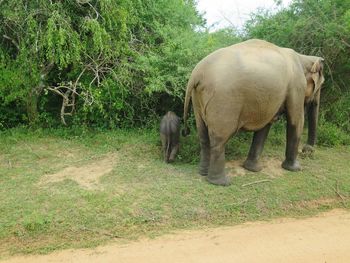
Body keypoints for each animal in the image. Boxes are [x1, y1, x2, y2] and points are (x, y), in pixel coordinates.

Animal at [182, 39, 324, 188]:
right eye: (321, 84)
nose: (307, 150)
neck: (303, 57)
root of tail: (196, 74)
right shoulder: (296, 86)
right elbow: (296, 120)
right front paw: (295, 169)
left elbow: (266, 124)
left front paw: (253, 169)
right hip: (224, 100)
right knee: (219, 139)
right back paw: (222, 182)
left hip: (197, 97)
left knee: (203, 135)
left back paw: (203, 173)